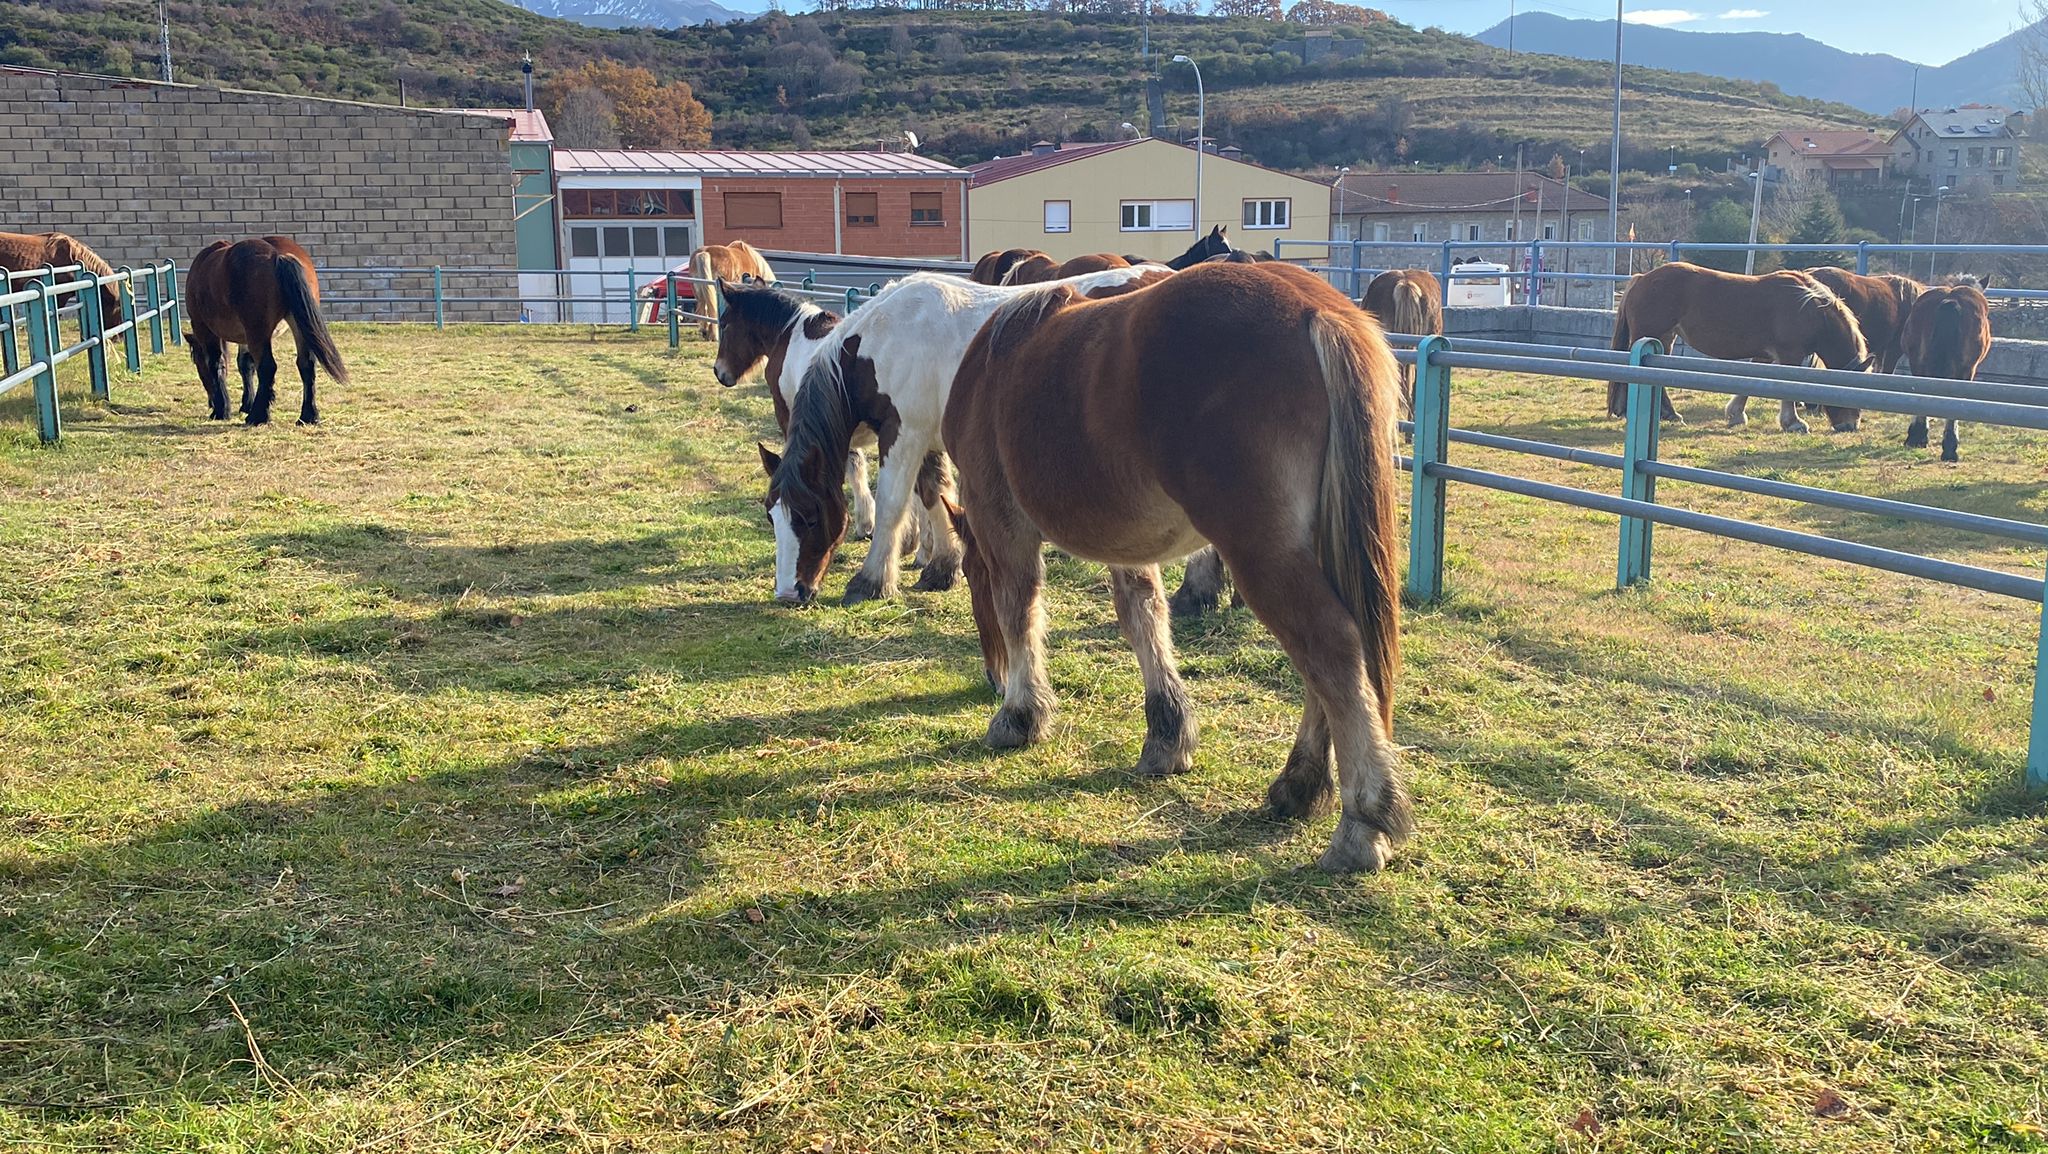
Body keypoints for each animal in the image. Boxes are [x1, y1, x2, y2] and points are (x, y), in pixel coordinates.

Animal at [185, 236, 348, 426]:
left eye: (197, 363)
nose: (210, 402)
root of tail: (278, 255)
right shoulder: (244, 337)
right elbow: (245, 364)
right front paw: (246, 403)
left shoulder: (205, 328)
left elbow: (216, 363)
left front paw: (222, 409)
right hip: (297, 326)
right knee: (306, 365)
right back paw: (308, 415)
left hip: (258, 332)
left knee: (267, 367)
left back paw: (258, 416)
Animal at [757, 262, 1179, 606]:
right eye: (771, 516)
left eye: (810, 517)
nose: (789, 593)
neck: (884, 339)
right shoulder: (926, 439)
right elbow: (934, 494)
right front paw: (942, 569)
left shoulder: (903, 433)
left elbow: (892, 505)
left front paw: (871, 581)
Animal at [937, 264, 1409, 877]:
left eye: (971, 577)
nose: (989, 678)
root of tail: (1315, 307)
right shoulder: (1125, 543)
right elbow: (1143, 618)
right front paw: (1167, 734)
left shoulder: (1001, 523)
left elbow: (1020, 610)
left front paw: (1019, 714)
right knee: (1327, 665)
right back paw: (1299, 786)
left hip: (1262, 554)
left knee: (1332, 649)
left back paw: (1360, 824)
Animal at [1605, 262, 1875, 428]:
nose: (1849, 426)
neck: (1810, 307)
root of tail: (1641, 279)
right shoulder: (1789, 354)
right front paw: (1793, 423)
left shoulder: (1766, 354)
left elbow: (1753, 383)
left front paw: (1736, 415)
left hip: (1664, 340)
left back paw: (1661, 413)